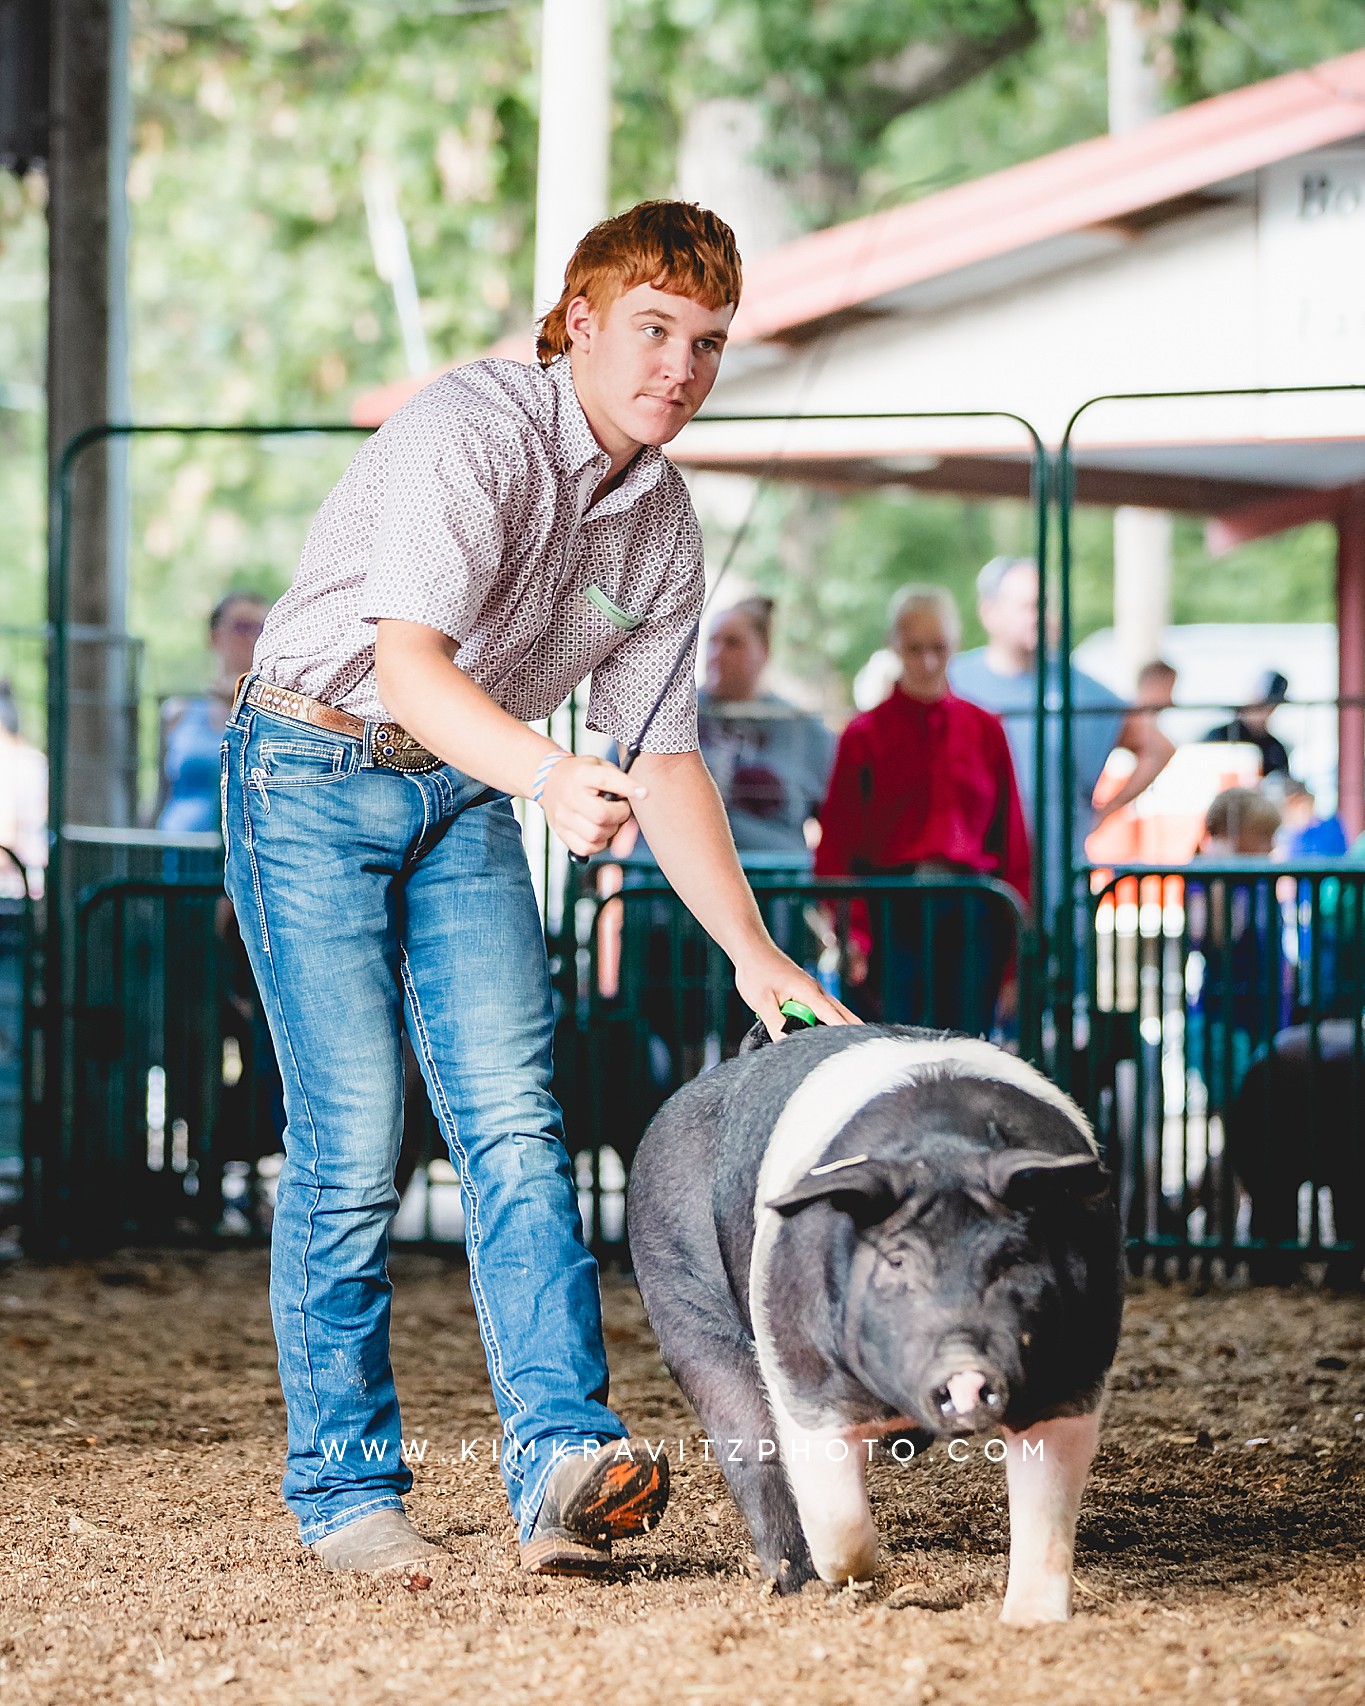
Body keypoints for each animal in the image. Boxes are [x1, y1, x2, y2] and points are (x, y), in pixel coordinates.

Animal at [627, 1016, 1119, 1617]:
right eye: (897, 1260)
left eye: (1015, 1257)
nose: (965, 1370)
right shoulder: (802, 1373)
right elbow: (834, 1510)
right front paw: (855, 1582)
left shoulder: (1077, 1371)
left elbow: (1046, 1507)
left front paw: (1033, 1621)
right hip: (680, 1297)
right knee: (747, 1443)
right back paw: (797, 1582)